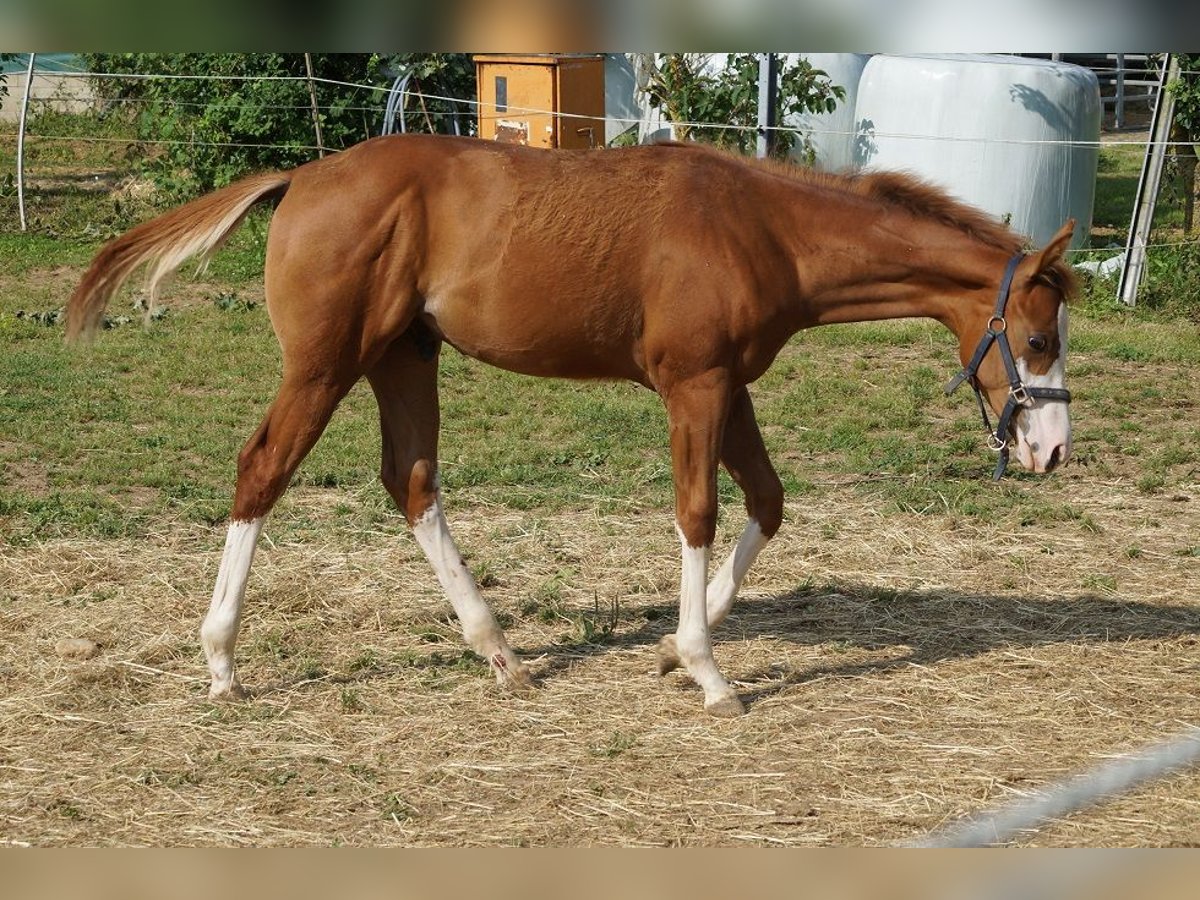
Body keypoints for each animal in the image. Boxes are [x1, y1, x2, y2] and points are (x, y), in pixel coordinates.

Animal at [65, 135, 1080, 720]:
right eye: (1036, 337)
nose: (1051, 450)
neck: (763, 228)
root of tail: (301, 176)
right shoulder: (694, 388)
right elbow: (700, 515)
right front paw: (709, 673)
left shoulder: (732, 388)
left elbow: (768, 502)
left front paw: (671, 649)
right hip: (326, 365)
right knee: (262, 470)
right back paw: (223, 662)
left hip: (405, 357)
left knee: (412, 482)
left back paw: (500, 653)